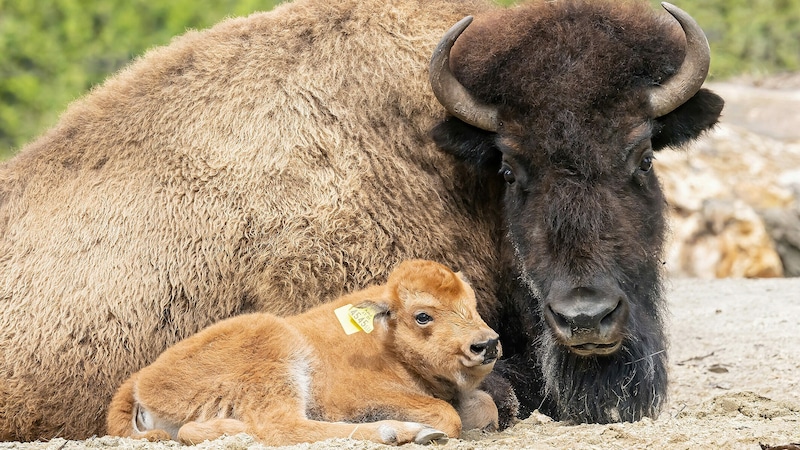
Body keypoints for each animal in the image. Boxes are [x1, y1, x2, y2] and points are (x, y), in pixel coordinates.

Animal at [106, 260, 500, 446]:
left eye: (471, 302)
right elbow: (448, 415)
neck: (385, 339)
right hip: (276, 353)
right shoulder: (354, 398)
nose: (487, 344)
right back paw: (402, 432)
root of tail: (140, 380)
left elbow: (485, 406)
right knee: (282, 427)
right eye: (423, 316)